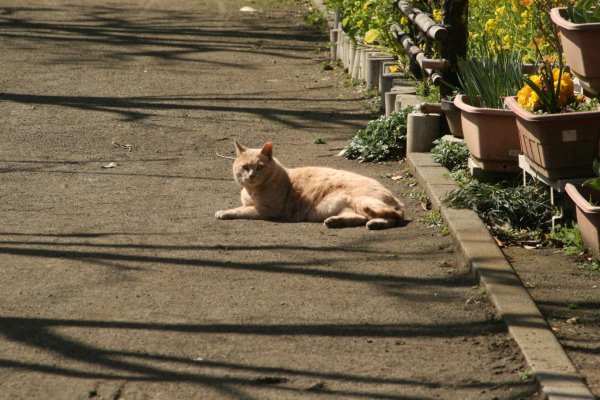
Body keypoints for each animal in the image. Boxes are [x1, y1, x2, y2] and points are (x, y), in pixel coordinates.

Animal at [213, 141, 406, 230]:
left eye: (259, 167)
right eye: (245, 167)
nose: (251, 175)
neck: (251, 191)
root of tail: (396, 199)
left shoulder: (267, 210)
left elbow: (240, 210)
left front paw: (224, 212)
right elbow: (242, 207)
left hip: (364, 201)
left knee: (394, 216)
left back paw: (376, 223)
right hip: (345, 208)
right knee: (361, 218)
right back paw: (335, 222)